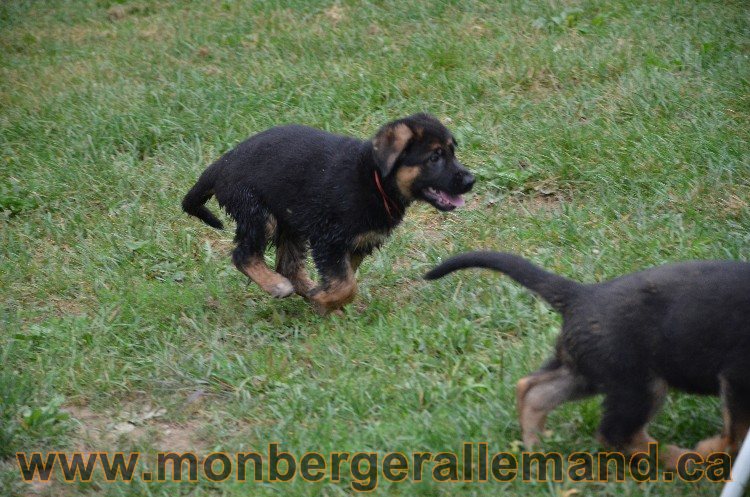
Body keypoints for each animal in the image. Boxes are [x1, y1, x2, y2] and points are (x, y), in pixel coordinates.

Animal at [184, 113, 476, 314]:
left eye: (452, 152)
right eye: (435, 157)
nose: (471, 180)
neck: (375, 179)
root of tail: (223, 164)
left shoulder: (359, 242)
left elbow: (344, 278)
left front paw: (324, 300)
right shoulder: (329, 239)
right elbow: (347, 284)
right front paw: (324, 299)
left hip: (290, 221)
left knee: (288, 265)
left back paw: (303, 288)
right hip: (258, 213)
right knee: (244, 255)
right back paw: (277, 285)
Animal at [428, 252, 750, 464]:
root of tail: (582, 295)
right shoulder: (736, 376)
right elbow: (736, 433)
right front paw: (711, 452)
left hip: (587, 371)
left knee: (532, 390)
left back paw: (536, 447)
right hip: (638, 383)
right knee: (617, 434)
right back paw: (682, 460)